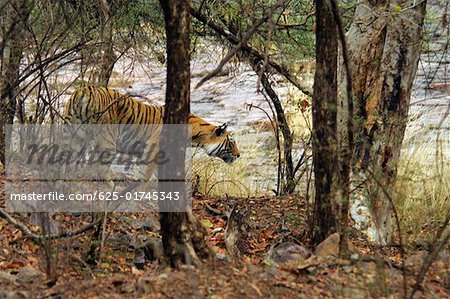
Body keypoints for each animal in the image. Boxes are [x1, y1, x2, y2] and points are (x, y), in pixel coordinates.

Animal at [65, 86, 241, 169]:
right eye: (231, 142)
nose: (239, 155)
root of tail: (84, 91)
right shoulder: (154, 149)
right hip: (106, 140)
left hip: (72, 134)